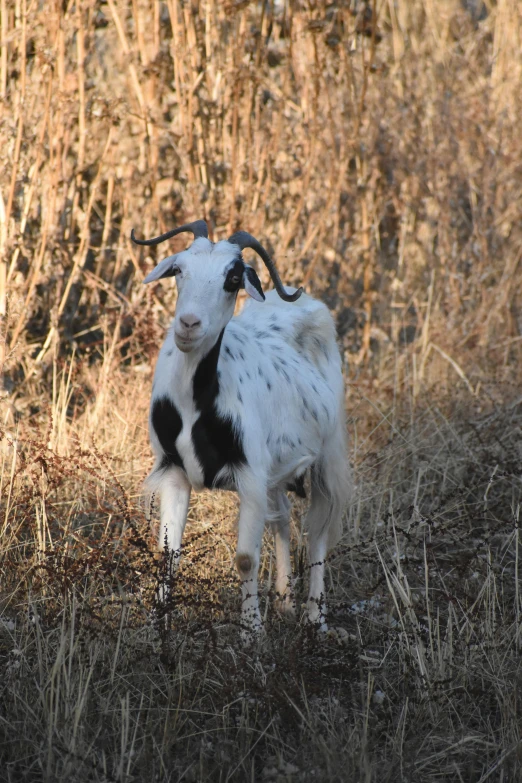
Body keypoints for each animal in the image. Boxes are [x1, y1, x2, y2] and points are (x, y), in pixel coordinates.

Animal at [130, 219, 350, 636]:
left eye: (233, 278)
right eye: (178, 269)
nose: (188, 325)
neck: (196, 403)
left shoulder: (249, 474)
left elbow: (245, 557)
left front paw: (252, 634)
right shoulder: (175, 471)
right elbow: (169, 553)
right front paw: (154, 628)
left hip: (329, 455)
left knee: (318, 530)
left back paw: (316, 620)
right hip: (276, 468)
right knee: (283, 519)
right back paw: (284, 601)